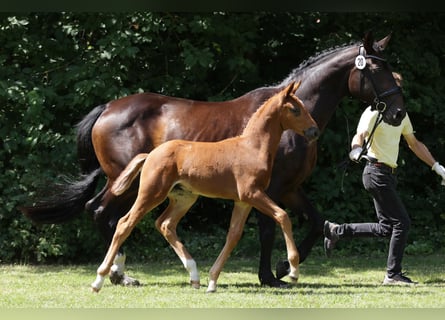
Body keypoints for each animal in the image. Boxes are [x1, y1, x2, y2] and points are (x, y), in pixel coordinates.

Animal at [91, 82, 320, 292]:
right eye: (295, 109)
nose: (314, 131)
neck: (252, 147)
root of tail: (150, 155)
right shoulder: (253, 193)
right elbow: (283, 216)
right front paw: (292, 270)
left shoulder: (243, 201)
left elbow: (233, 235)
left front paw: (212, 281)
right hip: (151, 193)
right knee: (124, 223)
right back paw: (100, 279)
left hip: (184, 198)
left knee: (165, 224)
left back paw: (194, 276)